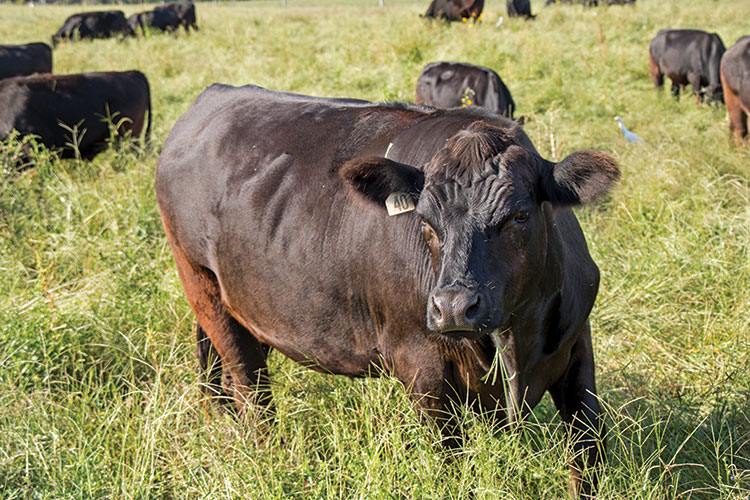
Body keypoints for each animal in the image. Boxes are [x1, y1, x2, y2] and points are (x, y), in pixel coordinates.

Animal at [156, 85, 620, 496]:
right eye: (426, 221)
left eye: (519, 216)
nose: (454, 307)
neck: (515, 340)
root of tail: (213, 98)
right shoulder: (421, 367)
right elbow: (451, 461)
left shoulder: (577, 347)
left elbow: (588, 452)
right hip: (201, 283)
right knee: (249, 384)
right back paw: (269, 456)